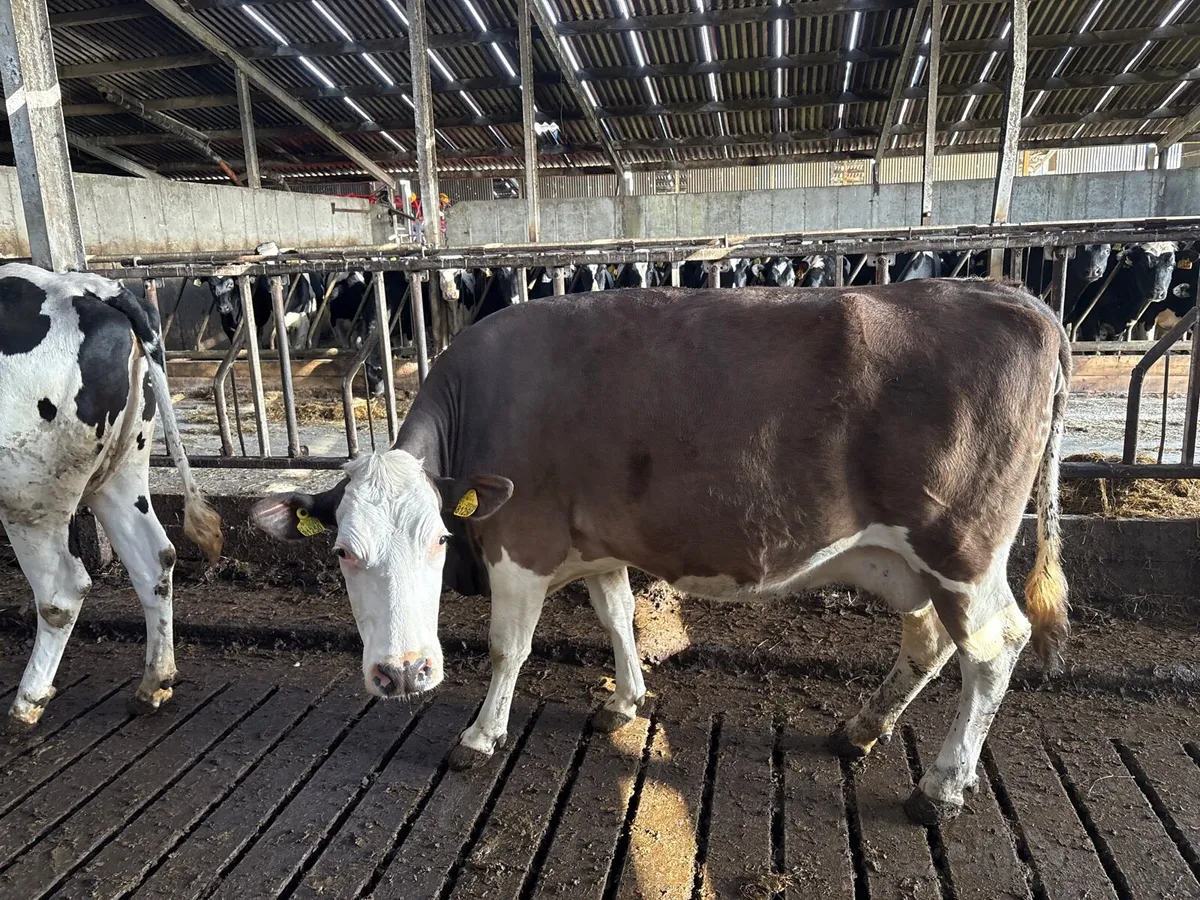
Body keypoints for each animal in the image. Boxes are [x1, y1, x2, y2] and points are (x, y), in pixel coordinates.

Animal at [0, 264, 223, 729]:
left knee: (62, 594)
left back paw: (27, 704)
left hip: (28, 492)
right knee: (155, 557)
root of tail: (86, 286)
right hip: (122, 470)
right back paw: (154, 684)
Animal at [250, 278, 1070, 825]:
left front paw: (481, 736)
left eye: (442, 539)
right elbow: (617, 618)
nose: (403, 673)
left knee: (994, 646)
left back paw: (942, 786)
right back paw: (860, 729)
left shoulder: (524, 541)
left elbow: (509, 647)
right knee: (929, 637)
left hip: (961, 546)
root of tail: (1016, 296)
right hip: (913, 560)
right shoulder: (598, 543)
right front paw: (627, 700)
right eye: (344, 553)